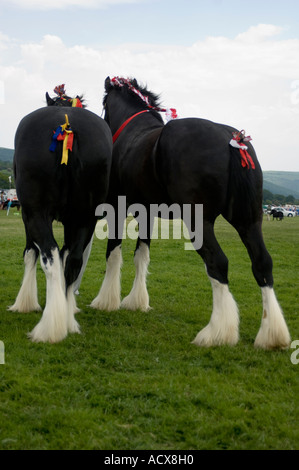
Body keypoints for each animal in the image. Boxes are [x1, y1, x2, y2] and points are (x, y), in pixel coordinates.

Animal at [9, 85, 112, 342]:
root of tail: (66, 127)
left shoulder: (28, 215)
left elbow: (30, 253)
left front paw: (25, 303)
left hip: (36, 214)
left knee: (50, 255)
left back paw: (51, 326)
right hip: (85, 218)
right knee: (72, 260)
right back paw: (67, 319)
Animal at [92, 77, 292, 348]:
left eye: (104, 104)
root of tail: (232, 138)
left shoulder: (117, 208)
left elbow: (113, 253)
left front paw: (105, 301)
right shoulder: (146, 213)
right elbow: (141, 255)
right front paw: (137, 301)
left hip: (200, 221)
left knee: (218, 263)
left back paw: (217, 332)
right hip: (249, 220)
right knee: (262, 263)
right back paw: (272, 334)